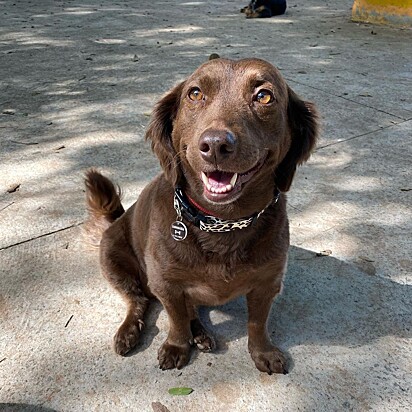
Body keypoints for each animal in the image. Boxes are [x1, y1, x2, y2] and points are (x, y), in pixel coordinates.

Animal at [84, 56, 318, 374]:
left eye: (264, 96)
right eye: (194, 94)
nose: (216, 144)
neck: (222, 222)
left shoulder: (267, 284)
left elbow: (257, 323)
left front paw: (263, 352)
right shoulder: (167, 284)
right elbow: (176, 318)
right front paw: (177, 345)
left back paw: (201, 334)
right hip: (113, 259)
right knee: (139, 300)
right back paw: (131, 331)